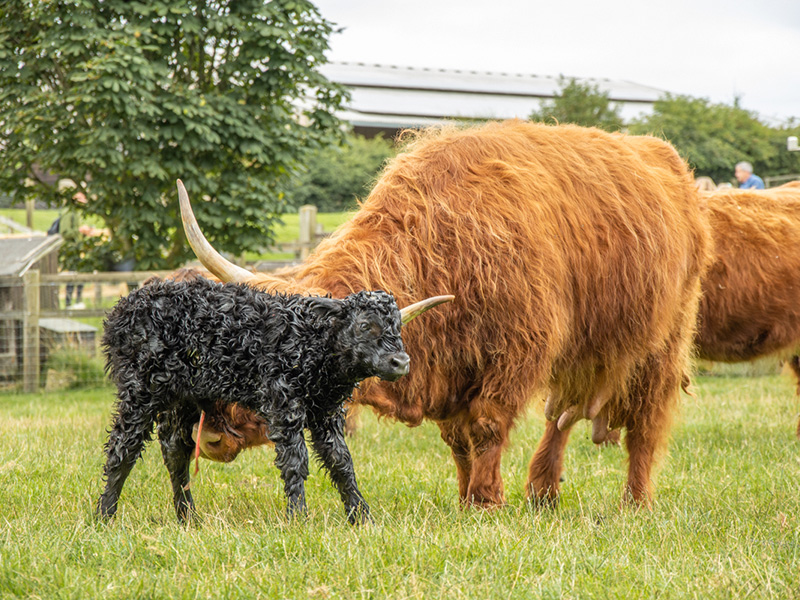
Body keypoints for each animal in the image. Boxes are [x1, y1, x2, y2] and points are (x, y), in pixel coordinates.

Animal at [178, 119, 708, 508]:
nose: (211, 438)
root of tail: (664, 156)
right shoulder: (451, 370)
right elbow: (457, 439)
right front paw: (464, 496)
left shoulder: (516, 352)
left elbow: (488, 426)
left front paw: (486, 501)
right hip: (584, 353)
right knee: (561, 417)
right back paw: (541, 492)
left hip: (663, 343)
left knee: (645, 424)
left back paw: (635, 502)